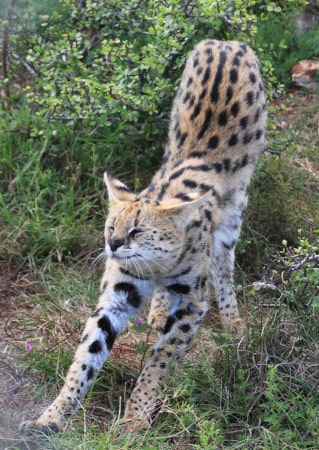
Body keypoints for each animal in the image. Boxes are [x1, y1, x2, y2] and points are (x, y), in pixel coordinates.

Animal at [20, 40, 268, 434]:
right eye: (111, 227)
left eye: (136, 231)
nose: (112, 245)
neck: (156, 267)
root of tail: (224, 42)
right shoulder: (115, 299)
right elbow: (84, 359)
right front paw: (52, 417)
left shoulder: (193, 304)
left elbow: (160, 361)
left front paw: (134, 420)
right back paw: (158, 311)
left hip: (235, 213)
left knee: (223, 267)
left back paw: (233, 321)